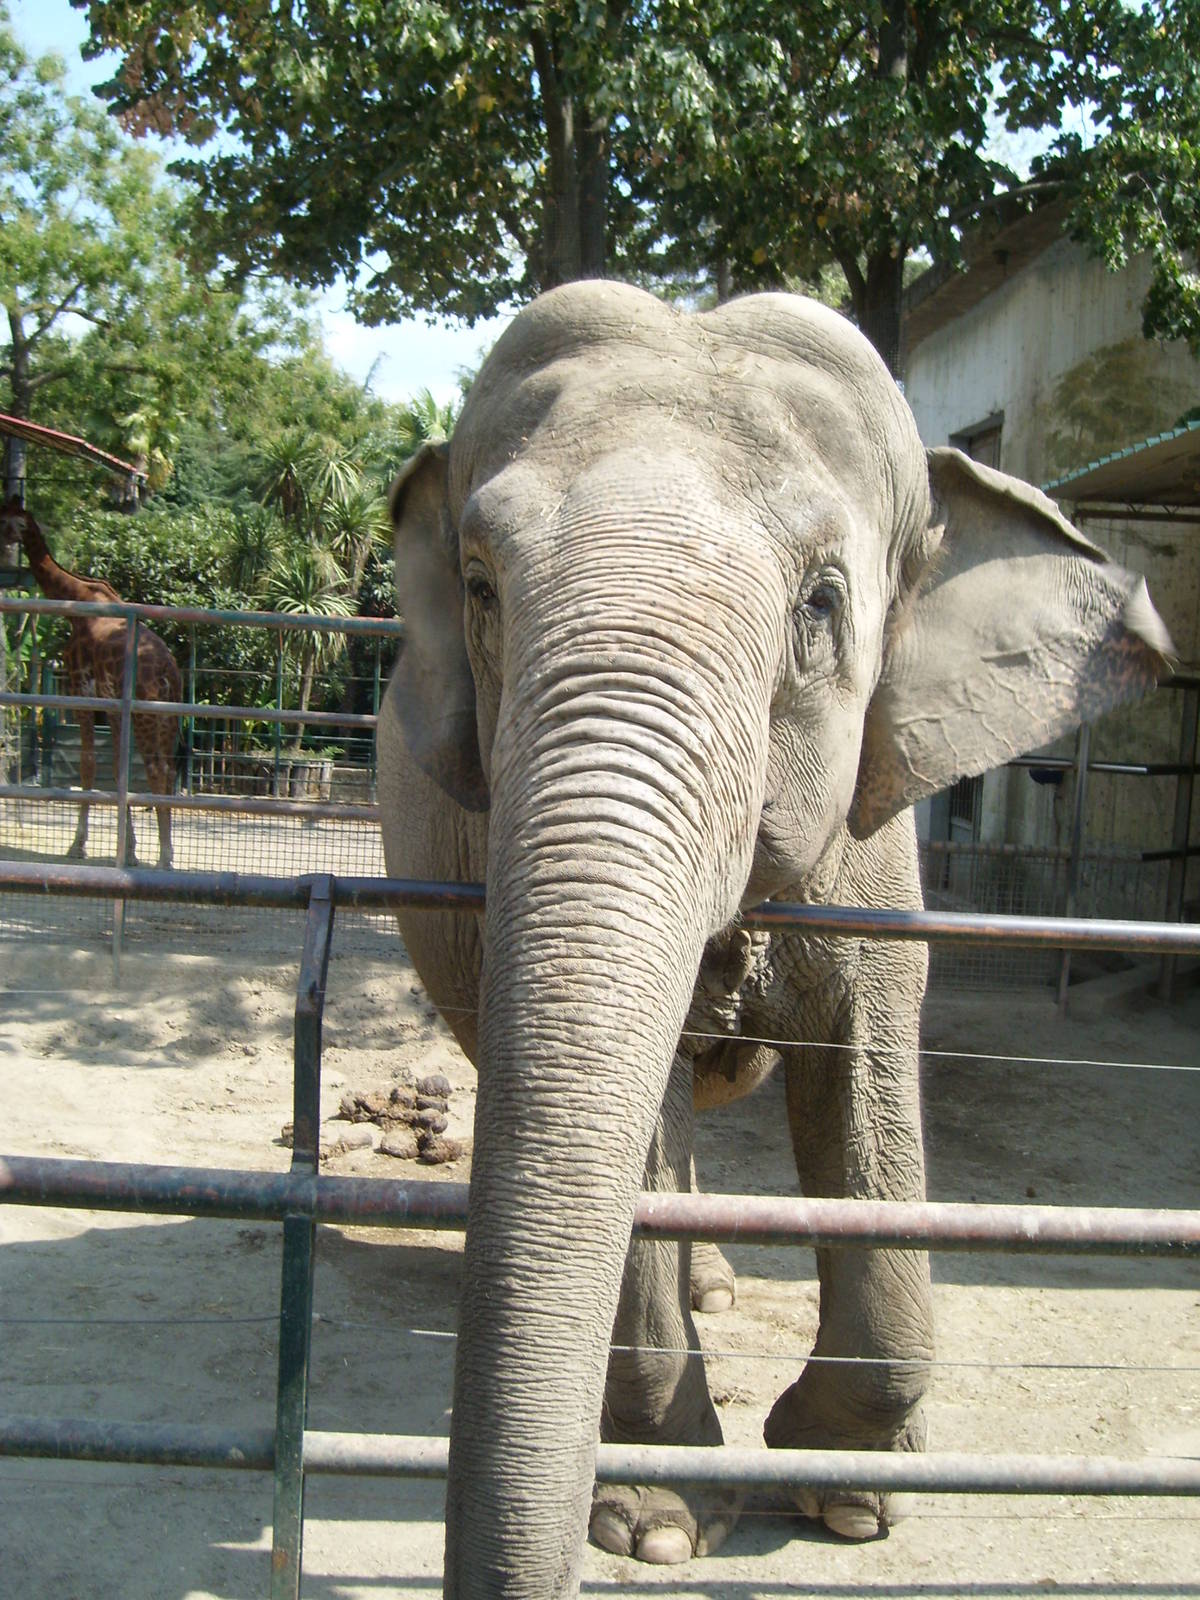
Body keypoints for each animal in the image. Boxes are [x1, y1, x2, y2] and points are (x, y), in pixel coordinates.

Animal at [376, 280, 1171, 1598]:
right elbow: (630, 1113)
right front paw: (655, 1524)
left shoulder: (881, 855)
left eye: (820, 605)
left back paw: (721, 1286)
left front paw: (852, 1500)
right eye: (481, 588)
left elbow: (866, 1087)